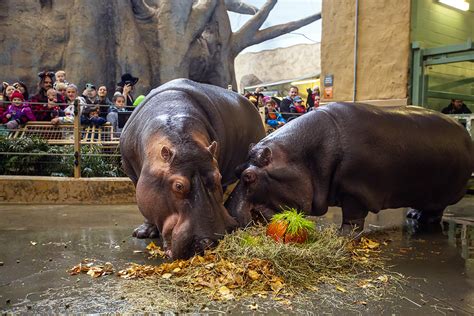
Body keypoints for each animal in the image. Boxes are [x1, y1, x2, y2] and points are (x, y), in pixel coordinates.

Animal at [227, 102, 474, 232]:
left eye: (249, 176)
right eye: (238, 170)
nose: (228, 216)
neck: (303, 158)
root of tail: (464, 132)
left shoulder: (356, 190)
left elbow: (353, 217)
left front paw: (342, 235)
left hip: (443, 193)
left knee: (436, 210)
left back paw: (424, 221)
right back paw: (413, 215)